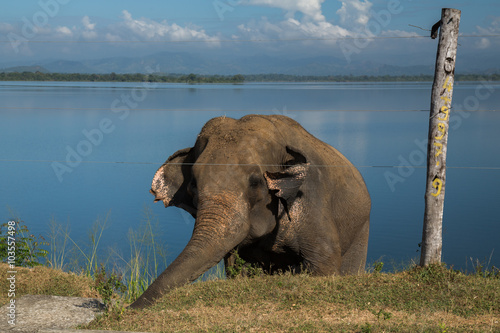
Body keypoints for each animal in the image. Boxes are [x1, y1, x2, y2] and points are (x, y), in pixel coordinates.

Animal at [130, 115, 372, 308]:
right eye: (193, 186)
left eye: (255, 182)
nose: (131, 307)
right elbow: (238, 266)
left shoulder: (311, 198)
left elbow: (322, 262)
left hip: (362, 226)